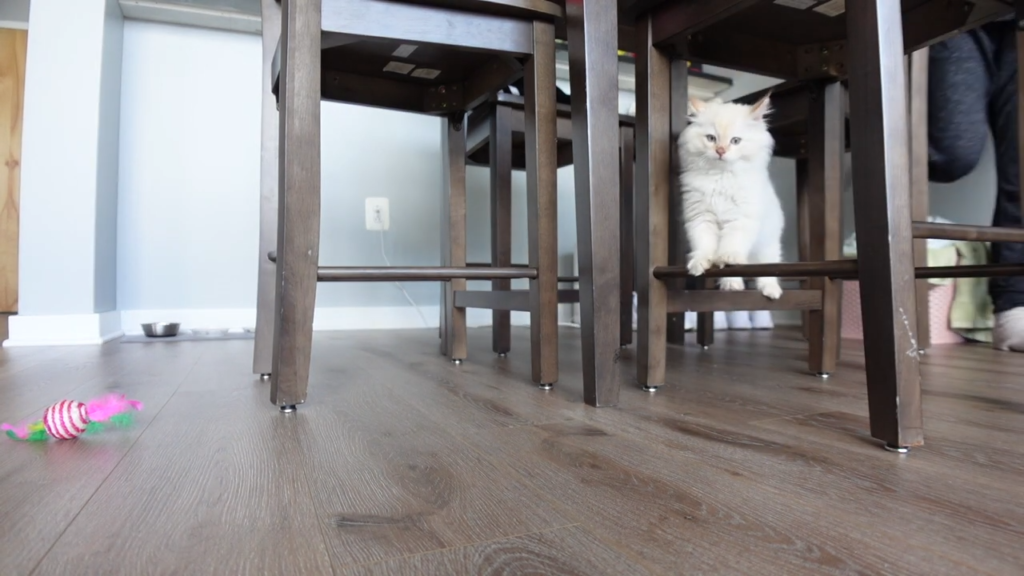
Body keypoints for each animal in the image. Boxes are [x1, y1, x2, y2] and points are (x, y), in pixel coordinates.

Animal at [679, 91, 782, 297]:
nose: (720, 150)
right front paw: (699, 264)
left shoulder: (740, 218)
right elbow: (704, 245)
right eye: (711, 138)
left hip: (768, 243)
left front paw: (728, 258)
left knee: (767, 267)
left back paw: (770, 290)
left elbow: (730, 247)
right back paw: (732, 285)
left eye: (735, 141)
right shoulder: (701, 217)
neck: (721, 177)